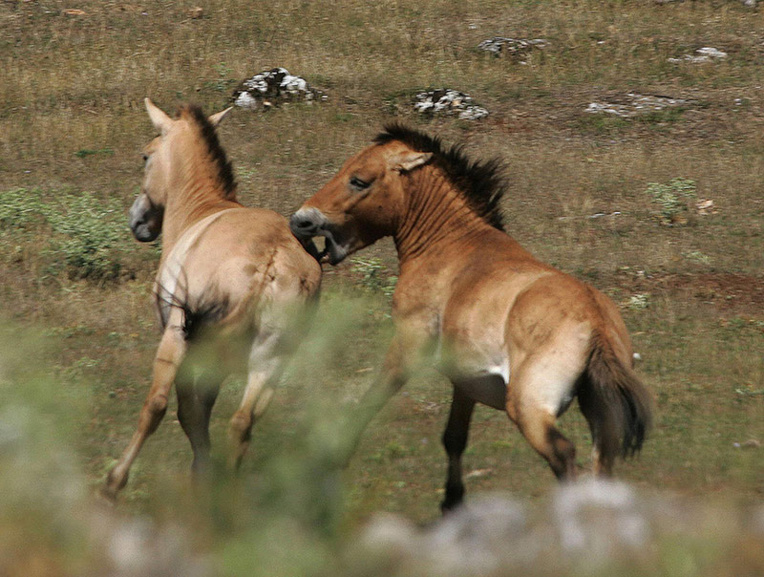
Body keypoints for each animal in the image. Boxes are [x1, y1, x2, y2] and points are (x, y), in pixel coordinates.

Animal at [102, 99, 321, 500]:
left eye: (146, 156)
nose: (137, 220)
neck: (203, 210)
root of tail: (270, 258)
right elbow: (200, 414)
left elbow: (182, 411)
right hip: (271, 356)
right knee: (242, 422)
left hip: (181, 336)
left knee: (158, 406)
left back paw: (114, 482)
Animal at [289, 124, 654, 512]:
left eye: (359, 180)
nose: (301, 220)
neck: (451, 246)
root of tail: (596, 322)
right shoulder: (466, 381)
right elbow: (454, 438)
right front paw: (452, 502)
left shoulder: (406, 349)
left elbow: (368, 402)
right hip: (601, 417)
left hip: (529, 408)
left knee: (564, 455)